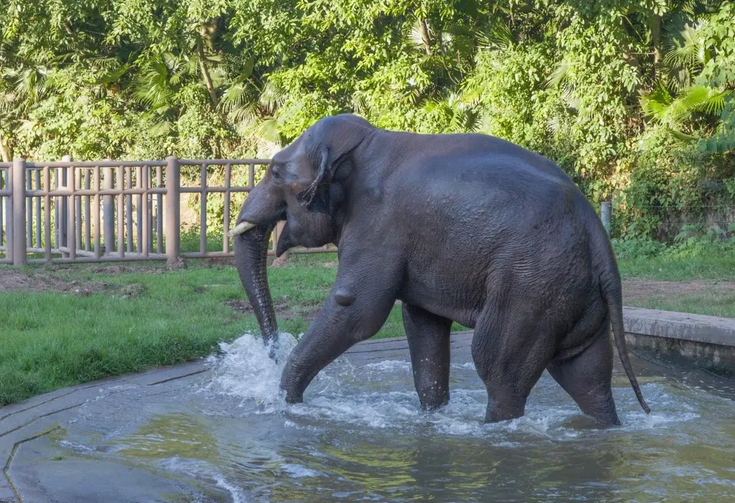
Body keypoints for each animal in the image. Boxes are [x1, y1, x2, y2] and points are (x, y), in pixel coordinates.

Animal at [230, 114, 650, 425]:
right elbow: (422, 322)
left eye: (275, 173)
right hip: (573, 292)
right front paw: (431, 417)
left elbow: (358, 310)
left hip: (532, 285)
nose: (271, 354)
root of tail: (597, 233)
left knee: (499, 369)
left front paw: (284, 400)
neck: (368, 142)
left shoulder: (380, 227)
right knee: (586, 377)